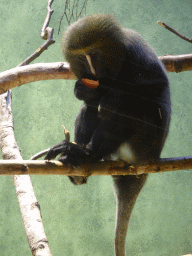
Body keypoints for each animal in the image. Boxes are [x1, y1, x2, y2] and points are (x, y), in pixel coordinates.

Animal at [45, 14, 171, 256]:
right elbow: (89, 101)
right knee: (90, 109)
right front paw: (84, 90)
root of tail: (148, 160)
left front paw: (109, 93)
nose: (92, 70)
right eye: (81, 57)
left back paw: (87, 153)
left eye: (94, 54)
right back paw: (78, 160)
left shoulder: (137, 55)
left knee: (126, 107)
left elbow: (149, 89)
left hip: (143, 144)